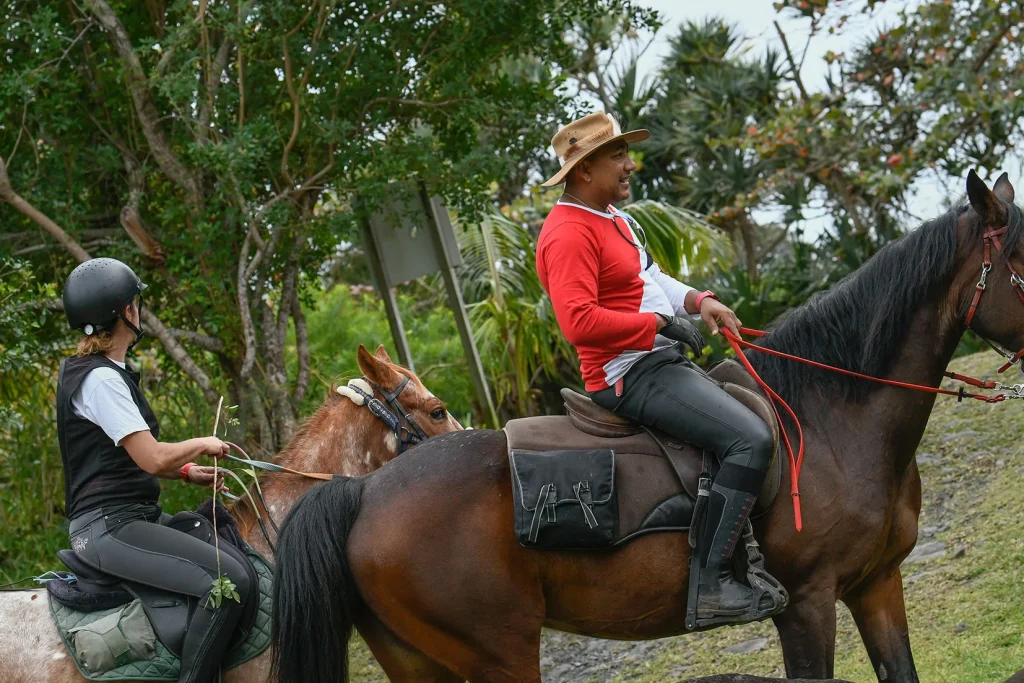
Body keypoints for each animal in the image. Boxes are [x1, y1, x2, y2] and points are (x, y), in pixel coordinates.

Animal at [270, 172, 1024, 683]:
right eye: (1023, 262)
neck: (832, 419)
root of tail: (363, 492)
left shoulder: (878, 585)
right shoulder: (808, 603)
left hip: (422, 662)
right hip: (500, 656)